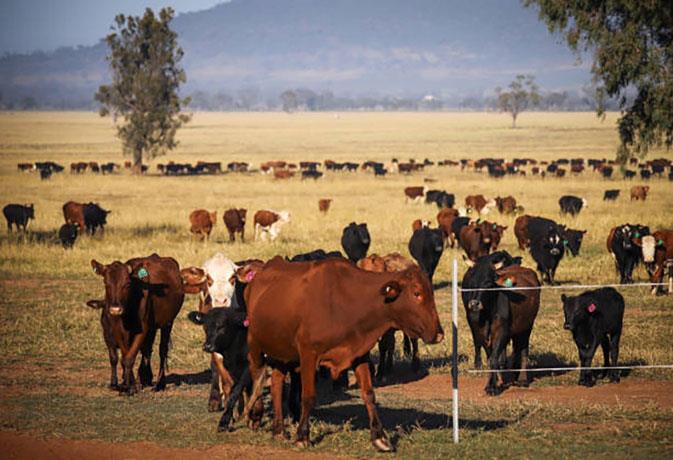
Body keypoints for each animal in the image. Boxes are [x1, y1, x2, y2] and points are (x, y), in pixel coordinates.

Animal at [88, 253, 186, 394]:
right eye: (106, 283)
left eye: (127, 284)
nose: (115, 309)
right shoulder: (117, 331)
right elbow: (124, 356)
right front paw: (128, 383)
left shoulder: (143, 329)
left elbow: (129, 357)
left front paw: (130, 387)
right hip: (152, 327)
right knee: (147, 349)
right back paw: (144, 378)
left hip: (168, 322)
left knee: (162, 349)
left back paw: (160, 384)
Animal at [239, 256, 444, 452]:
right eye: (417, 293)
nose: (439, 334)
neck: (345, 301)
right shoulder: (308, 355)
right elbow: (308, 397)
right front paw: (302, 436)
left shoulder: (359, 354)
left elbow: (369, 394)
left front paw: (379, 437)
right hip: (255, 344)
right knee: (257, 375)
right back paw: (255, 414)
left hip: (282, 352)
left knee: (276, 383)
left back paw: (279, 430)